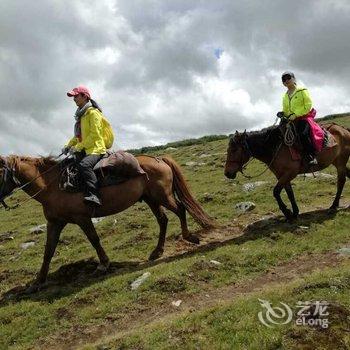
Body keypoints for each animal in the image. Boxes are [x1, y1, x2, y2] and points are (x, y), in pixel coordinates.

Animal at [0, 154, 216, 292]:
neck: (53, 186)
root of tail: (158, 159)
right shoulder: (55, 223)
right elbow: (48, 251)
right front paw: (38, 283)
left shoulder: (82, 218)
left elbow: (94, 239)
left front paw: (104, 264)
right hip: (150, 199)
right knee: (163, 220)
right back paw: (157, 252)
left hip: (163, 196)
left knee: (180, 210)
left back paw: (189, 237)